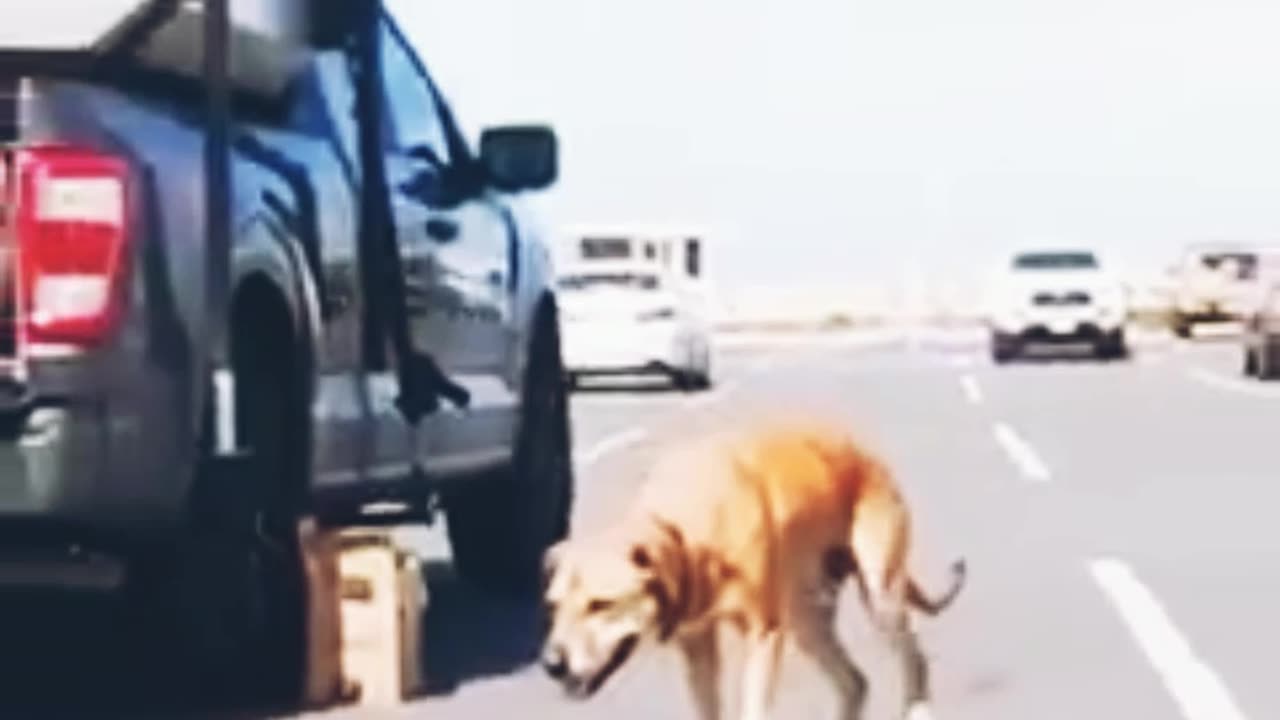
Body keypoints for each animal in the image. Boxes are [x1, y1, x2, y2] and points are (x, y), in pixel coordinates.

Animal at [540, 417, 967, 717]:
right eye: (553, 607)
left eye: (601, 604)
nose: (551, 665)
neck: (685, 528)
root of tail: (868, 454)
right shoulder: (697, 644)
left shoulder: (763, 633)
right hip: (807, 620)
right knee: (854, 682)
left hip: (881, 595)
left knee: (914, 661)